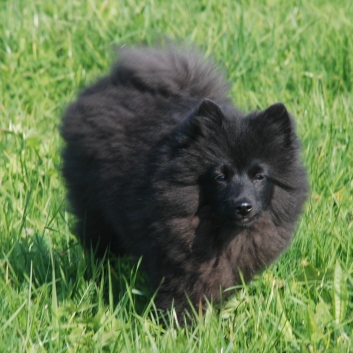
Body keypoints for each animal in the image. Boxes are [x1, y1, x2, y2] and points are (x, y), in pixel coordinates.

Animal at [61, 45, 308, 312]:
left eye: (259, 176)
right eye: (221, 176)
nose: (243, 206)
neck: (223, 231)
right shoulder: (177, 264)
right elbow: (180, 297)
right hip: (97, 214)